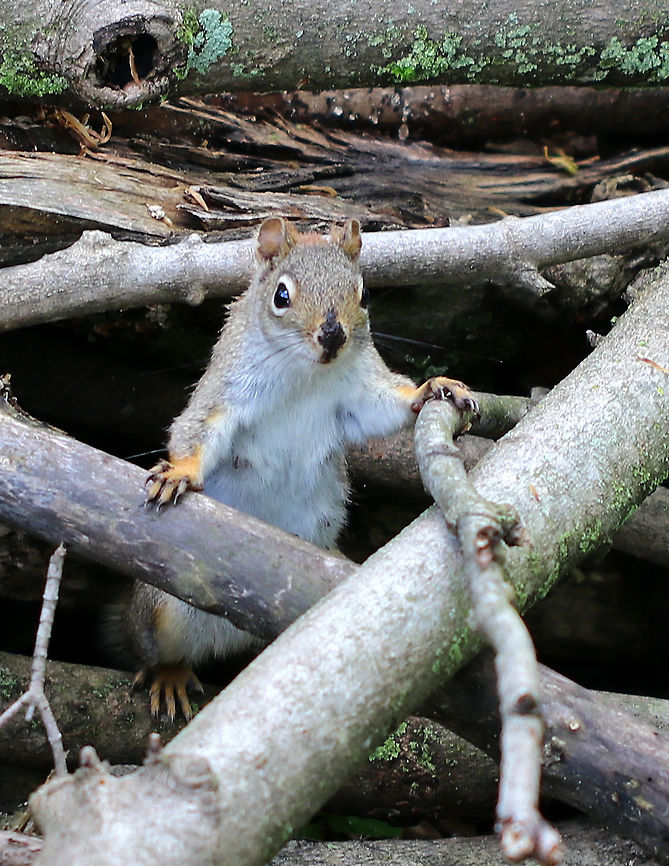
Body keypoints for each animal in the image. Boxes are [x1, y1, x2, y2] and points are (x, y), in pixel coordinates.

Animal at [125, 217, 477, 720]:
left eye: (363, 294)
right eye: (281, 295)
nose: (332, 336)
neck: (305, 373)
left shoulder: (358, 391)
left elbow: (383, 407)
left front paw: (433, 387)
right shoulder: (226, 388)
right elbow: (199, 429)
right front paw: (180, 472)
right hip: (164, 609)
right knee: (157, 649)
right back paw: (169, 677)